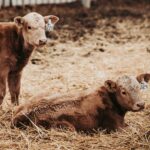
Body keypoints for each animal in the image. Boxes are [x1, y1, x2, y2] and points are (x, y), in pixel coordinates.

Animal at [11, 73, 149, 132]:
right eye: (123, 92)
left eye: (139, 87)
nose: (141, 104)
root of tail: (19, 115)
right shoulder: (115, 127)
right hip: (67, 127)